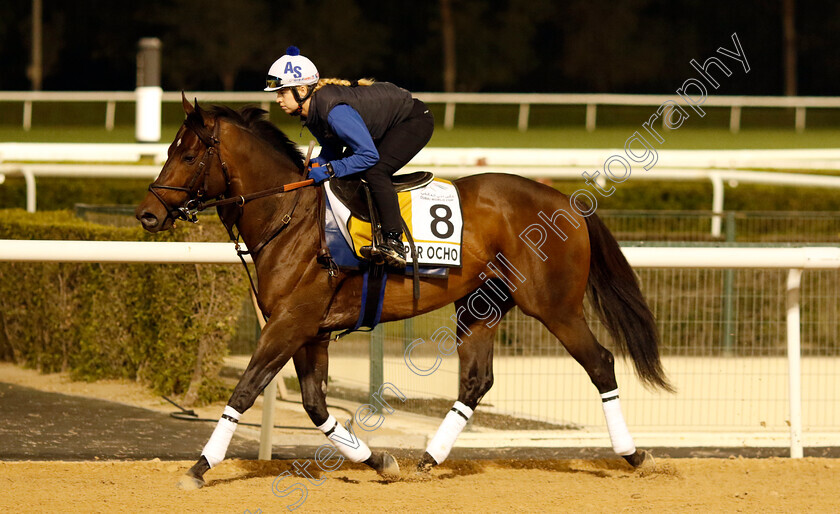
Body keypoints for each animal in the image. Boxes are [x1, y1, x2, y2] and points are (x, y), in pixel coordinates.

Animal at [135, 97, 672, 488]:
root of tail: (567, 201)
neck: (288, 218)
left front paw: (200, 467)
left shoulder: (290, 324)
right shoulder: (309, 331)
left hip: (554, 306)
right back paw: (428, 460)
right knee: (475, 383)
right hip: (481, 305)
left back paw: (634, 454)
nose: (147, 214)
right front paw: (379, 462)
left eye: (187, 155)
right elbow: (315, 405)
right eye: (168, 151)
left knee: (600, 362)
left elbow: (246, 391)